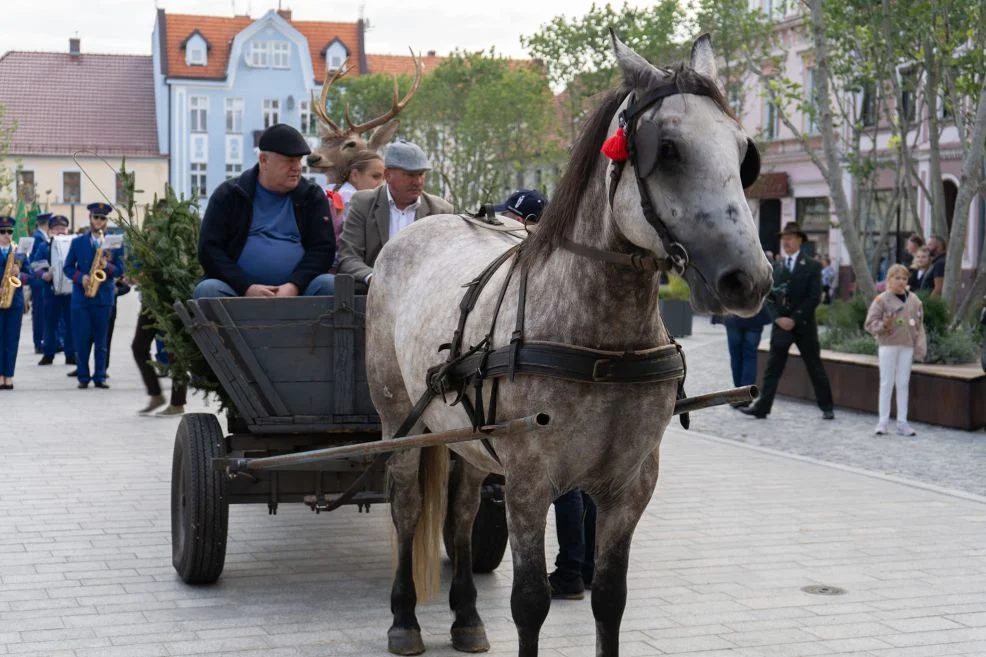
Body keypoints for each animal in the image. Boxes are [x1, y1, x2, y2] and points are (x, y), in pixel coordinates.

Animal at [366, 34, 772, 656]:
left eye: (741, 149)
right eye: (669, 150)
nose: (749, 278)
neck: (606, 346)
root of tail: (419, 227)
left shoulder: (630, 487)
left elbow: (609, 600)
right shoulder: (529, 483)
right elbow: (530, 603)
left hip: (467, 437)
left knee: (461, 513)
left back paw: (466, 615)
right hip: (400, 422)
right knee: (407, 508)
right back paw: (405, 619)